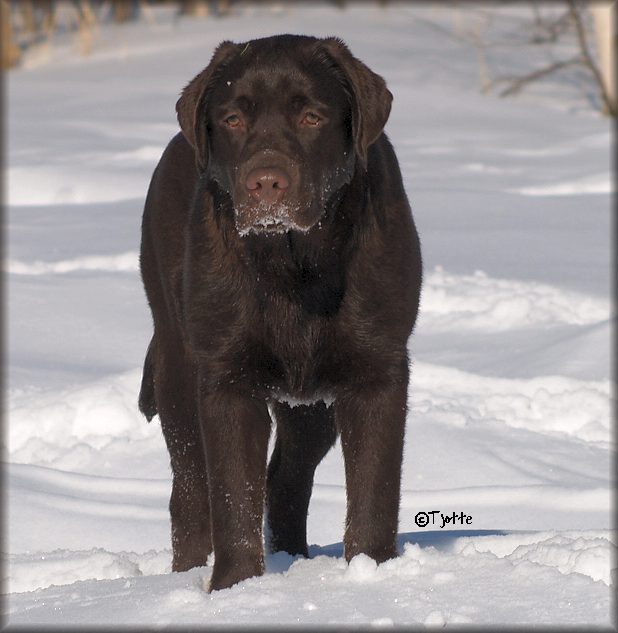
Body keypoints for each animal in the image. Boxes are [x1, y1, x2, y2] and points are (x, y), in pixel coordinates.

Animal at [139, 34, 422, 592]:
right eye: (232, 119)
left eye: (311, 117)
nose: (265, 183)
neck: (293, 266)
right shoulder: (226, 379)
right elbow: (232, 498)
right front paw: (234, 589)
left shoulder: (377, 371)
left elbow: (374, 493)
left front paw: (371, 575)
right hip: (178, 368)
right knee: (190, 493)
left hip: (313, 405)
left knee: (285, 480)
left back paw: (296, 560)